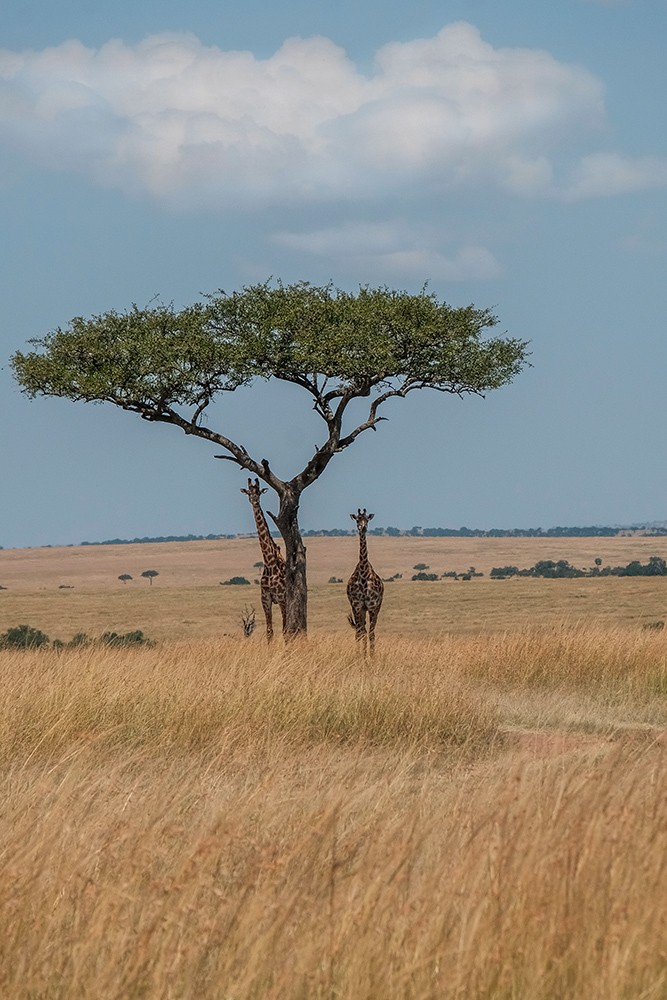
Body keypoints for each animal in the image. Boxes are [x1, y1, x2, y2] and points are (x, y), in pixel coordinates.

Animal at [243, 476, 288, 640]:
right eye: (249, 492)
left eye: (259, 492)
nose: (254, 500)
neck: (269, 563)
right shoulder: (266, 599)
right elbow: (270, 631)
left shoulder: (281, 597)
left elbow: (284, 630)